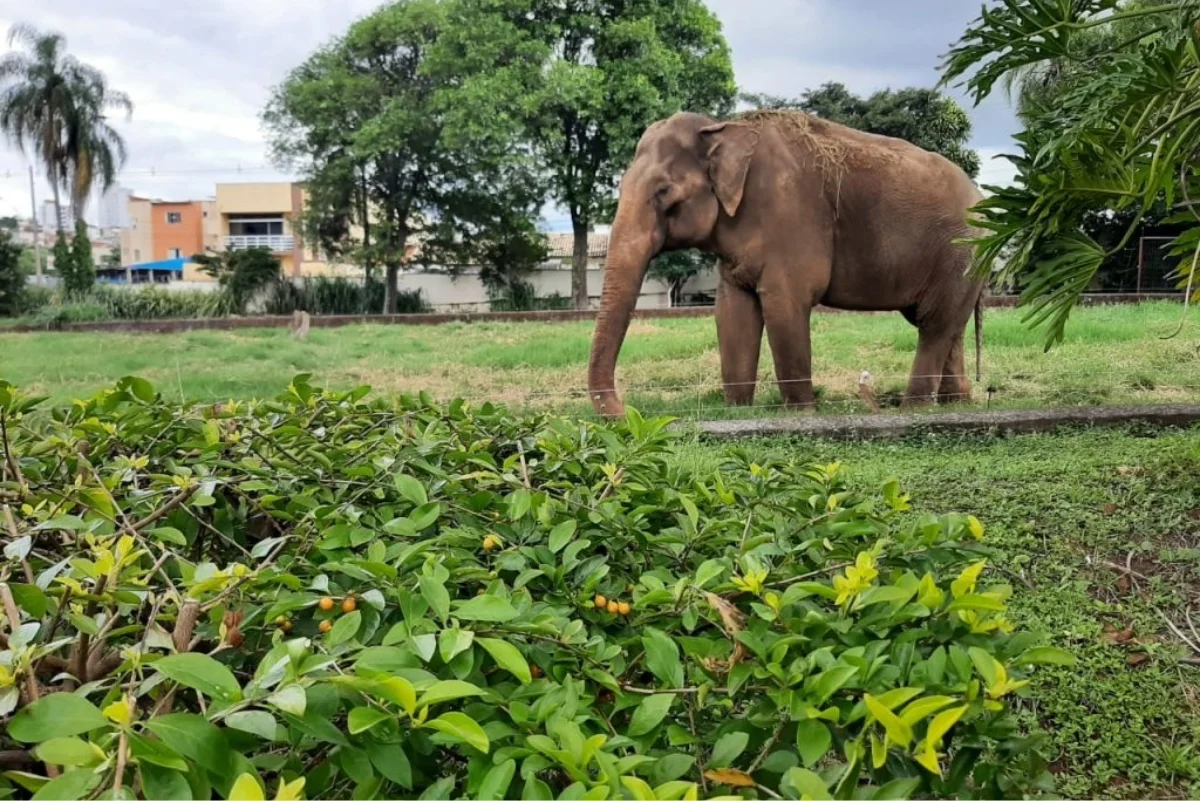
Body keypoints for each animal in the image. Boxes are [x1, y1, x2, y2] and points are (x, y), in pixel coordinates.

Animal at [586, 109, 986, 419]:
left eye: (664, 191)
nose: (627, 412)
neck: (723, 127)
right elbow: (732, 312)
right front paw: (737, 411)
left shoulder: (789, 216)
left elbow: (784, 306)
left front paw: (801, 413)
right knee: (945, 324)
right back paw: (956, 402)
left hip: (959, 253)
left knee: (934, 325)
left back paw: (914, 408)